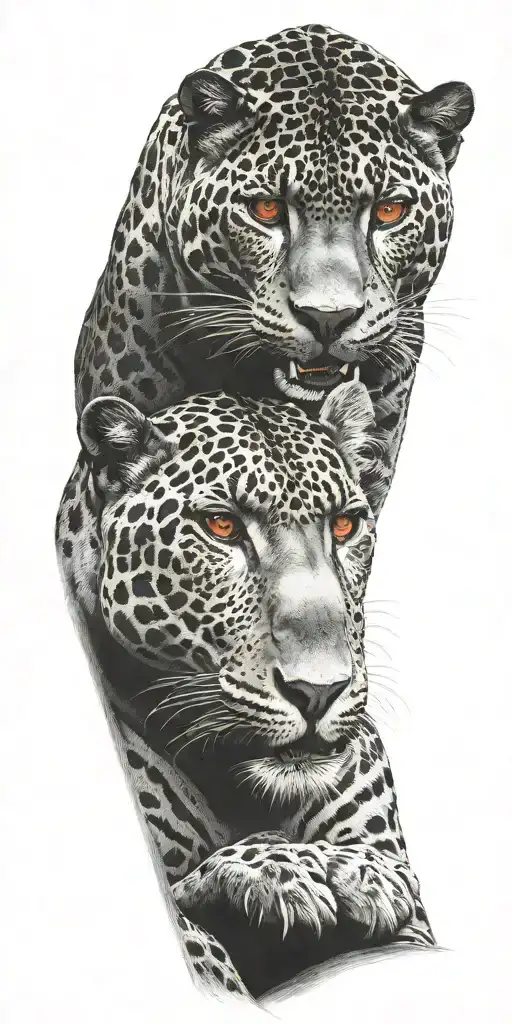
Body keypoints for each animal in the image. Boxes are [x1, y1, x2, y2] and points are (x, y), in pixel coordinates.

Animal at [56, 379, 434, 999]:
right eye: (222, 527)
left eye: (345, 526)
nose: (319, 690)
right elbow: (197, 931)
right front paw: (282, 871)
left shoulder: (416, 932)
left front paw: (363, 871)